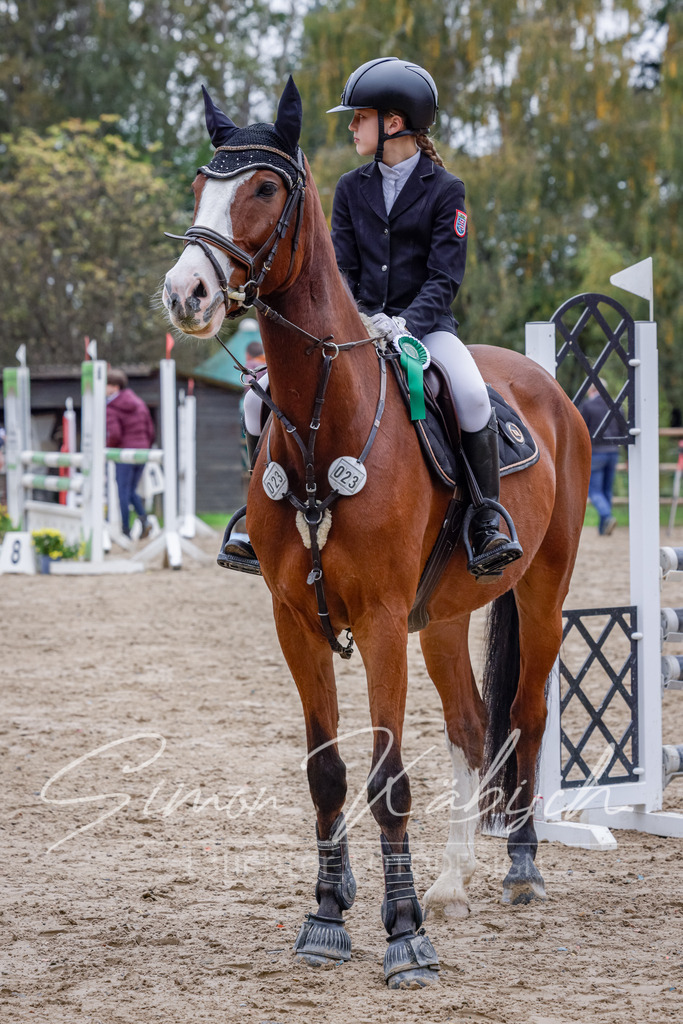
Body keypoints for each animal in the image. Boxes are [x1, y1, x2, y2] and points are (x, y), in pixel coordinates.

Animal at [162, 77, 592, 989]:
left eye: (264, 188)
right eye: (201, 185)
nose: (187, 294)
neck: (323, 417)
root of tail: (545, 388)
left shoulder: (386, 621)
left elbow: (388, 779)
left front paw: (404, 938)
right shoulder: (295, 620)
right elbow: (327, 771)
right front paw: (328, 916)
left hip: (539, 593)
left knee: (527, 716)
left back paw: (520, 868)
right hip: (446, 617)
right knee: (471, 725)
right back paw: (453, 883)